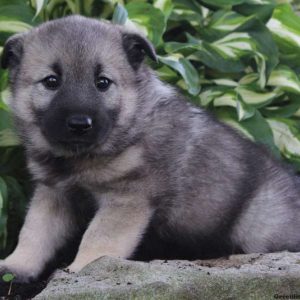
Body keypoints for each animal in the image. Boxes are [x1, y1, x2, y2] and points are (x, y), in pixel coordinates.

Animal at [0, 15, 300, 282]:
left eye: (102, 82)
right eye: (51, 81)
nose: (79, 124)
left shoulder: (127, 198)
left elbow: (98, 237)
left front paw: (81, 269)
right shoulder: (53, 193)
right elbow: (34, 231)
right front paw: (16, 267)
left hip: (258, 226)